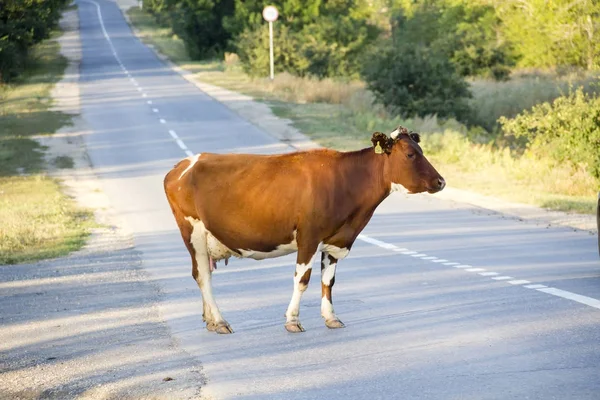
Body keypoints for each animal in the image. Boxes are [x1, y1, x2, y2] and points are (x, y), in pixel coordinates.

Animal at [164, 126, 446, 332]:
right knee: (202, 275)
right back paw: (220, 321)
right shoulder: (308, 237)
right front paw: (292, 320)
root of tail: (181, 165)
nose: (441, 181)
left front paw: (331, 317)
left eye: (421, 150)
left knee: (204, 275)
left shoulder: (336, 239)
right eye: (410, 154)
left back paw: (210, 320)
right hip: (192, 231)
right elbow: (302, 280)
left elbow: (328, 281)